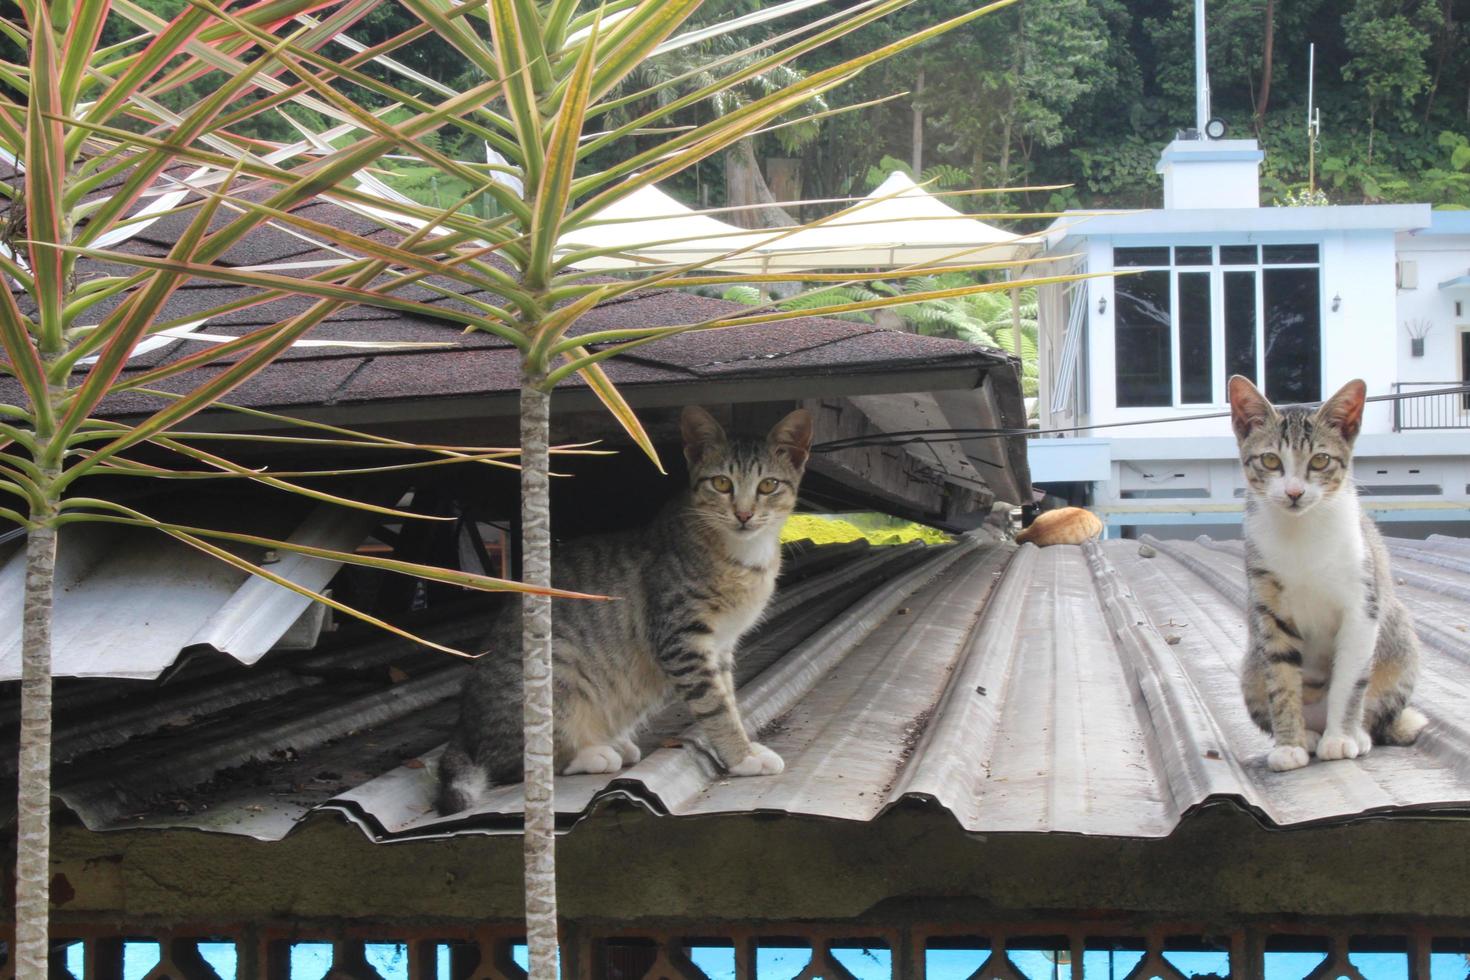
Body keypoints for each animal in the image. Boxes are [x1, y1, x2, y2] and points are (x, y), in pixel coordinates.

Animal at [432, 405, 817, 811]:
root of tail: (463, 727)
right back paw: (589, 753)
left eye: (768, 485)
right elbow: (715, 706)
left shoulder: (721, 646)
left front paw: (745, 745)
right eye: (722, 484)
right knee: (516, 762)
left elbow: (728, 698)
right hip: (553, 671)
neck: (741, 554)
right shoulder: (682, 640)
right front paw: (742, 756)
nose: (743, 515)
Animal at [1228, 376, 1422, 775]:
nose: (1294, 492)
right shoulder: (1269, 609)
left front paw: (1342, 738)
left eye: (1320, 460)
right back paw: (1309, 736)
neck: (1302, 533)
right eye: (1270, 460)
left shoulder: (1362, 608)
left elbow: (1349, 680)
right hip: (1251, 665)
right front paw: (1289, 745)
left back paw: (1356, 734)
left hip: (1400, 643)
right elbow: (1282, 680)